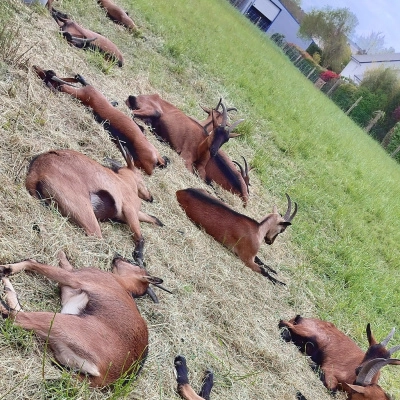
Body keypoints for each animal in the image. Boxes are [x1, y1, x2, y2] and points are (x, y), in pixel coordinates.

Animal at [0, 252, 166, 386]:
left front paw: (5, 268)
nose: (117, 256)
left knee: (17, 317)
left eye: (135, 263)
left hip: (60, 321)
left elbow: (33, 262)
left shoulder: (73, 278)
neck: (122, 283)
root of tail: (106, 377)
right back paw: (7, 288)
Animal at [25, 146, 162, 266]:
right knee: (99, 240)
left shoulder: (126, 215)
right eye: (141, 178)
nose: (151, 197)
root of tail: (36, 173)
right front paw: (139, 258)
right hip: (84, 210)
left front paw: (161, 223)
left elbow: (153, 218)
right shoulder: (129, 209)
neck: (124, 181)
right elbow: (141, 237)